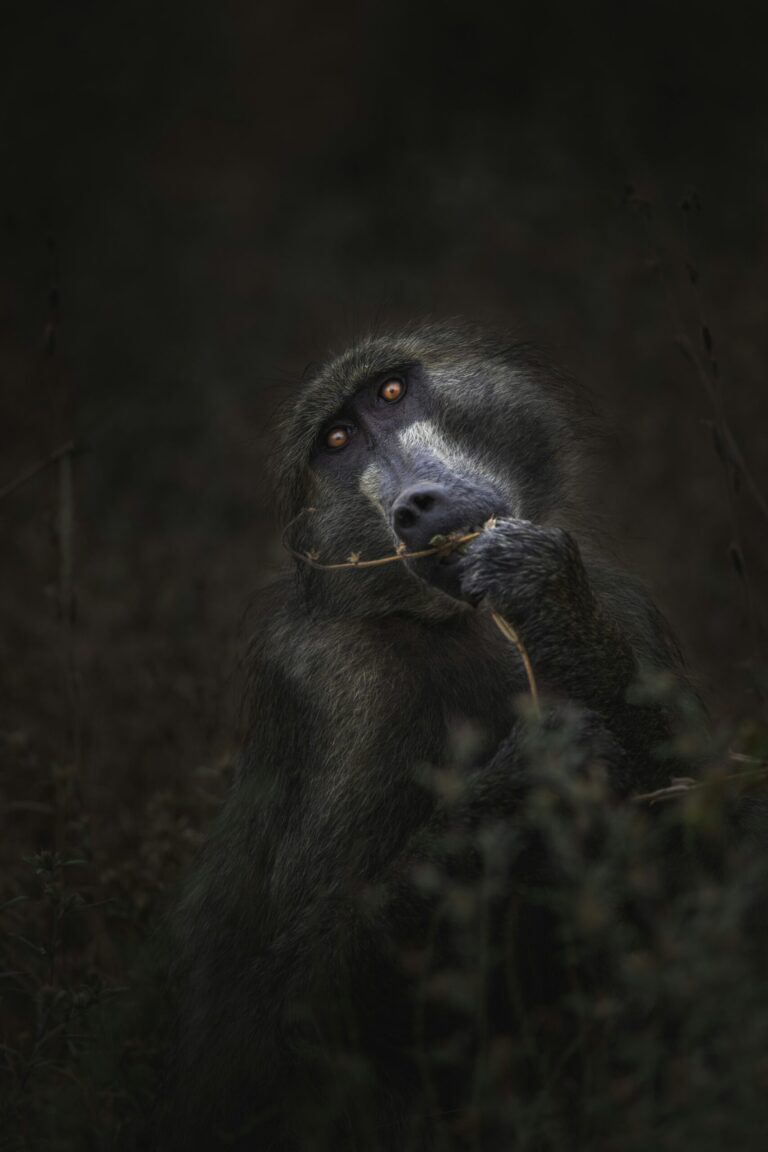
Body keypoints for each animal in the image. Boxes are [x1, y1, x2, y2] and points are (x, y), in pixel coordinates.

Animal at [162, 320, 694, 1152]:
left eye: (390, 393)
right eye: (337, 441)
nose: (417, 504)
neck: (456, 622)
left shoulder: (624, 605)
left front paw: (550, 603)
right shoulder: (346, 690)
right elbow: (301, 1000)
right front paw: (531, 776)